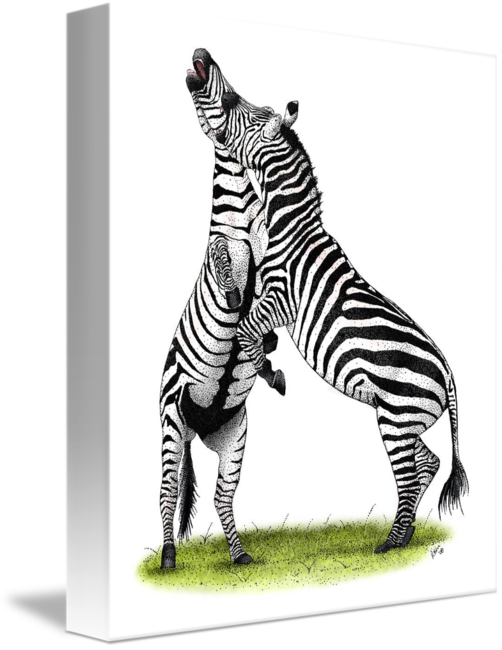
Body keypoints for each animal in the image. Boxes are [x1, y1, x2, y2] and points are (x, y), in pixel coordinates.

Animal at [190, 50, 469, 554]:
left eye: (238, 105)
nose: (202, 57)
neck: (289, 228)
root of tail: (449, 375)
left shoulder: (280, 299)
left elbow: (246, 332)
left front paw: (270, 372)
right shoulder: (265, 297)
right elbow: (246, 328)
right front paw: (267, 364)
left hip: (396, 416)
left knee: (410, 471)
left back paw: (392, 542)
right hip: (403, 418)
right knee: (428, 462)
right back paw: (405, 533)